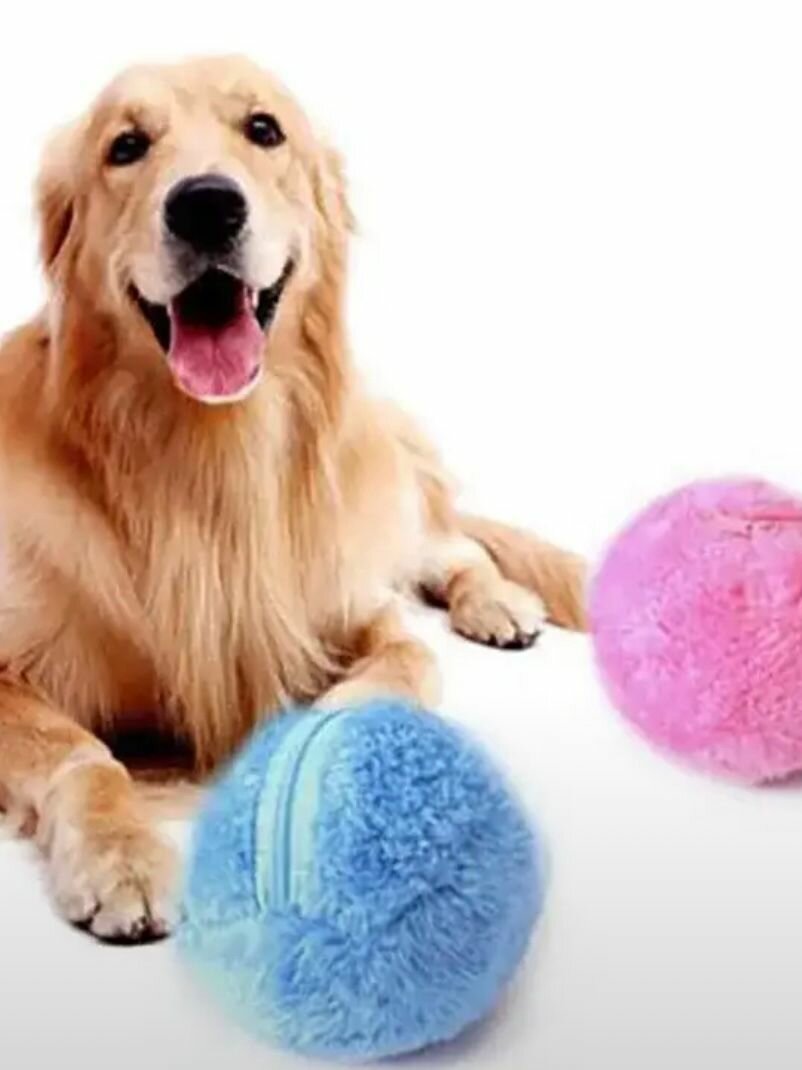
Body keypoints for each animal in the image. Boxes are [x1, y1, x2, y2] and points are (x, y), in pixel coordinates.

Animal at [0, 55, 585, 943]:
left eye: (264, 129)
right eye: (126, 146)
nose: (207, 204)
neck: (212, 456)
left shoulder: (355, 604)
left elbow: (400, 665)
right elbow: (80, 754)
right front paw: (119, 853)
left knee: (456, 548)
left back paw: (497, 604)